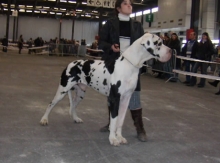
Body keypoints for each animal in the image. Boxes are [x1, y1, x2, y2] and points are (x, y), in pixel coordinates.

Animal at [40, 33, 172, 146]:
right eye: (158, 43)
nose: (171, 51)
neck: (129, 65)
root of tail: (70, 64)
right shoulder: (115, 99)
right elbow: (113, 121)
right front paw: (113, 139)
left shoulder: (125, 100)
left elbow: (120, 121)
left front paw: (120, 137)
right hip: (62, 90)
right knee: (50, 104)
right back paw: (44, 119)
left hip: (81, 93)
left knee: (73, 106)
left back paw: (76, 118)